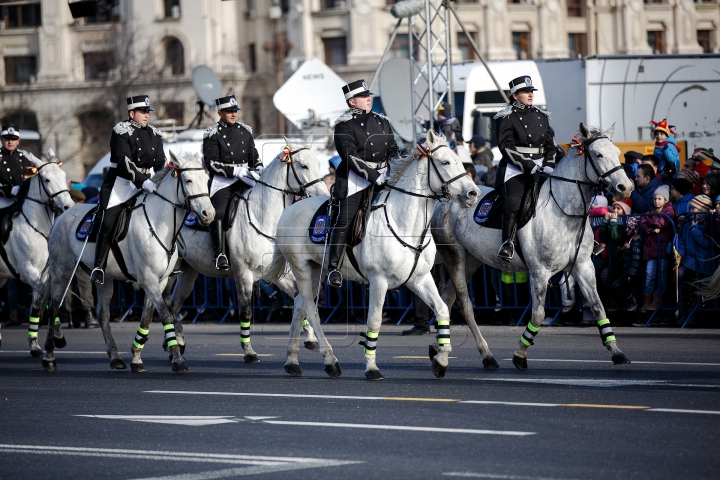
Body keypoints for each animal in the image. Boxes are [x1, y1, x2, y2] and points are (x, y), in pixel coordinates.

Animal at [0, 152, 73, 354]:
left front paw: (34, 343)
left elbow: (42, 302)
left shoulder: (46, 273)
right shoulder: (28, 272)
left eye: (63, 176)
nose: (68, 206)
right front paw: (57, 336)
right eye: (46, 179)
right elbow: (48, 300)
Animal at [41, 152, 214, 374]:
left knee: (103, 314)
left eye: (207, 179)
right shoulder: (148, 280)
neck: (158, 222)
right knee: (53, 307)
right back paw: (49, 357)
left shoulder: (159, 281)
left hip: (104, 279)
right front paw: (177, 358)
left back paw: (115, 357)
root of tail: (61, 216)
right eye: (189, 180)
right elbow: (166, 316)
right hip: (62, 272)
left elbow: (147, 318)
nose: (208, 214)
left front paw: (137, 357)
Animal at [166, 141, 330, 366]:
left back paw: (177, 345)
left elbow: (300, 297)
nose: (325, 195)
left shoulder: (276, 274)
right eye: (304, 165)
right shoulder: (243, 274)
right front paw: (249, 351)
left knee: (174, 304)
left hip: (188, 271)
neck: (262, 217)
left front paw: (312, 339)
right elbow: (245, 311)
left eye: (319, 163)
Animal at [264, 130, 478, 378]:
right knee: (310, 308)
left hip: (317, 269)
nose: (473, 193)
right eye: (445, 162)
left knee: (299, 304)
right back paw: (330, 360)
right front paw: (372, 367)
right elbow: (374, 322)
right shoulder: (378, 281)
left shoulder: (419, 279)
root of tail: (288, 210)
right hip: (302, 269)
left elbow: (442, 310)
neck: (403, 222)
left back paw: (292, 361)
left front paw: (441, 360)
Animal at [434, 124, 632, 372]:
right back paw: (482, 354)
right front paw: (520, 355)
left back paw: (441, 350)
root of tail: (443, 200)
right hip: (455, 256)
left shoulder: (583, 266)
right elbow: (538, 315)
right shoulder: (539, 271)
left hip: (472, 260)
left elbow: (598, 307)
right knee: (464, 303)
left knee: (446, 296)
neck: (564, 210)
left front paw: (616, 351)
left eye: (617, 152)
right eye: (598, 154)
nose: (625, 187)